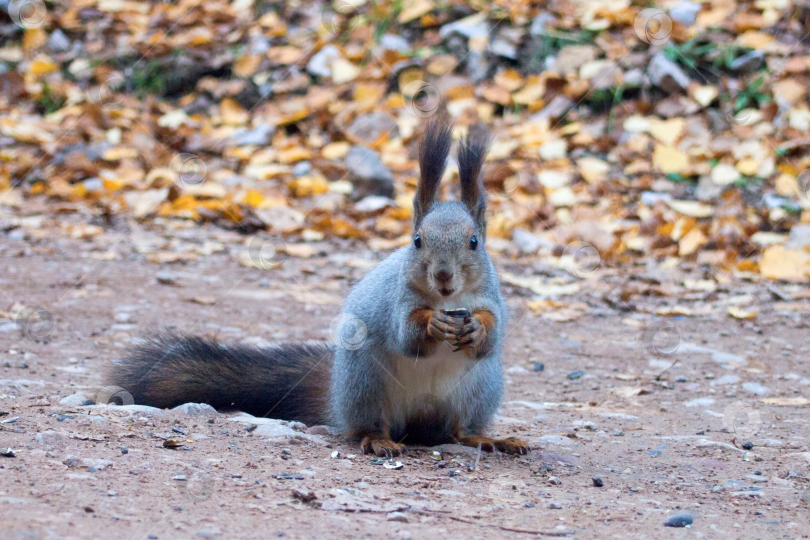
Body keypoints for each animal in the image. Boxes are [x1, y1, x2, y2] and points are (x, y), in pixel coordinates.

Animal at [110, 114, 532, 456]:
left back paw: (490, 439)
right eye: (417, 241)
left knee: (459, 431)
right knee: (369, 426)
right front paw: (432, 323)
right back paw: (379, 440)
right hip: (365, 383)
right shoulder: (398, 301)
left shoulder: (492, 299)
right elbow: (407, 334)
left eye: (474, 242)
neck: (448, 299)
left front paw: (476, 327)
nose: (443, 276)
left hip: (480, 389)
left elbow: (493, 333)